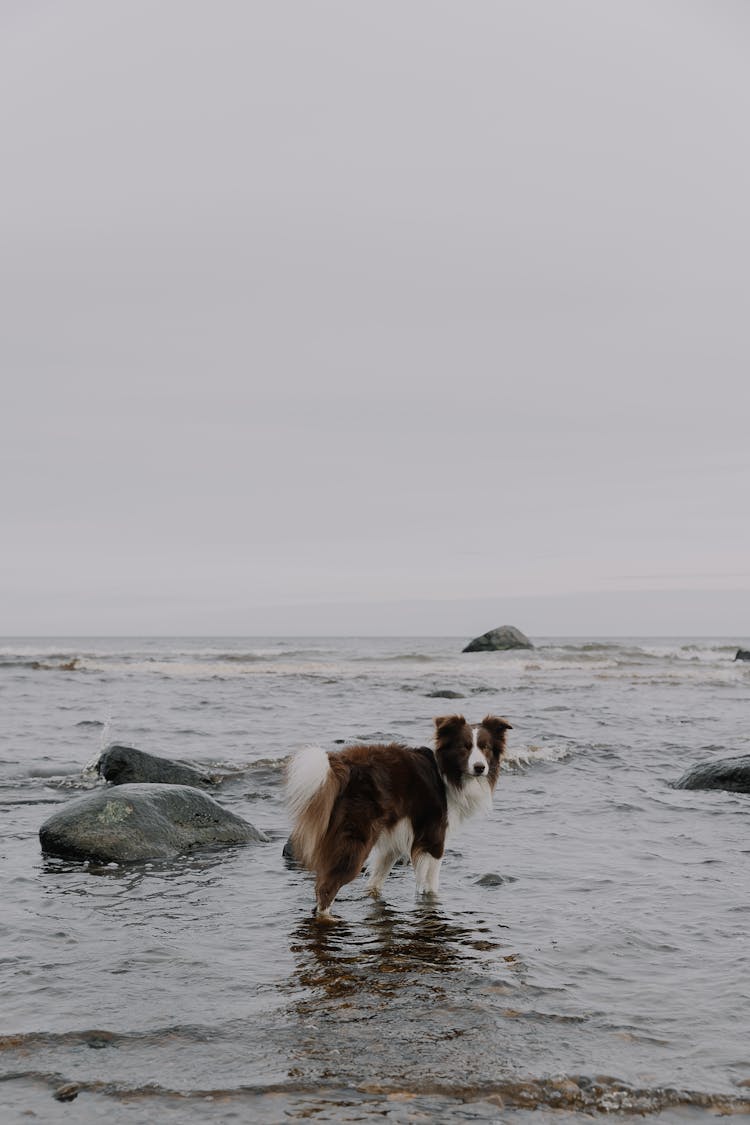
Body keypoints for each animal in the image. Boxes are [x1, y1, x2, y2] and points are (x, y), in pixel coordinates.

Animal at [285, 715, 510, 918]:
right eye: (465, 747)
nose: (480, 768)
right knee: (325, 889)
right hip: (354, 841)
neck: (446, 774)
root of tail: (343, 768)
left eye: (485, 747)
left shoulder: (393, 841)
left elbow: (376, 882)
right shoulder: (434, 838)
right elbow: (431, 885)